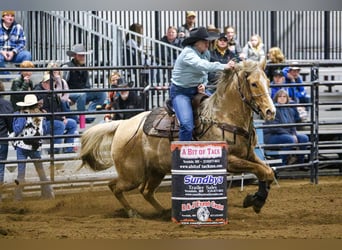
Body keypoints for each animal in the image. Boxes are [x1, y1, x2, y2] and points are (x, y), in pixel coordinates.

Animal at [79, 60, 276, 217]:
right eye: (253, 84)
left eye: (268, 81)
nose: (270, 112)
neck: (223, 117)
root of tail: (122, 125)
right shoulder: (229, 161)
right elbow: (263, 171)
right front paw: (256, 201)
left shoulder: (248, 155)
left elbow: (267, 170)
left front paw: (255, 199)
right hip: (132, 175)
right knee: (114, 186)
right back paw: (132, 212)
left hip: (155, 171)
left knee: (146, 191)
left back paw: (165, 211)